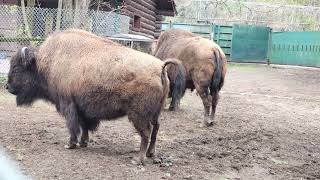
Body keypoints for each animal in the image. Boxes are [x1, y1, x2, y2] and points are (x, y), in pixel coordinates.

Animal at [5, 28, 184, 165]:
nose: (7, 86)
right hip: (155, 113)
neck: (45, 63)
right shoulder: (83, 108)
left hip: (138, 115)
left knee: (146, 133)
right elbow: (84, 126)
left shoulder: (68, 104)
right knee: (156, 129)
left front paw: (70, 144)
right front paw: (84, 143)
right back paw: (150, 154)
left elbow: (72, 125)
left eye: (16, 68)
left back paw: (138, 159)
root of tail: (160, 66)